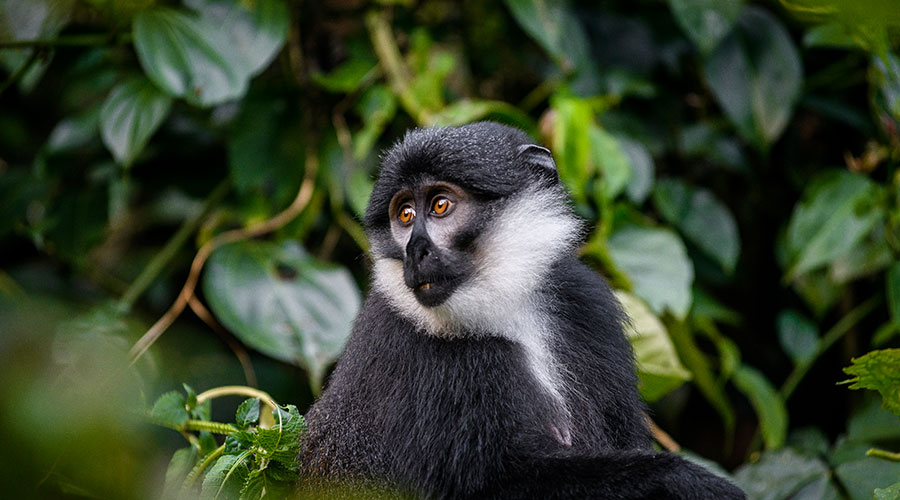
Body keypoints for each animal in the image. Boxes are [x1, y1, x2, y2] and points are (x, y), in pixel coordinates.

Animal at [298, 122, 746, 500]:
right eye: (405, 215)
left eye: (440, 206)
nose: (414, 250)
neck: (504, 310)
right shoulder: (422, 350)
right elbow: (494, 486)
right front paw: (683, 478)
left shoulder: (586, 301)